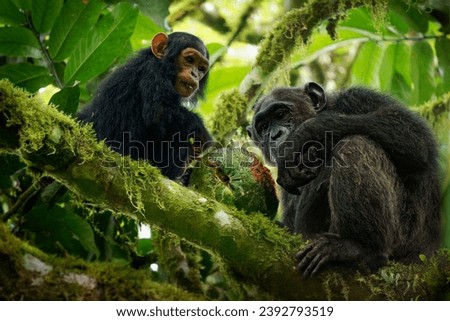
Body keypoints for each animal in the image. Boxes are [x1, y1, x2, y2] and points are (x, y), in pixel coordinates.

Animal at [78, 31, 213, 180]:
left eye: (201, 68)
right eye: (190, 59)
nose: (195, 74)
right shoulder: (153, 73)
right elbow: (158, 113)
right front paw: (201, 132)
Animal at [246, 82, 440, 276]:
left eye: (281, 114)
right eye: (263, 127)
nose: (275, 135)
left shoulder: (360, 97)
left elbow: (412, 135)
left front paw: (301, 136)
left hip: (404, 240)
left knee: (354, 145)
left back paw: (360, 249)